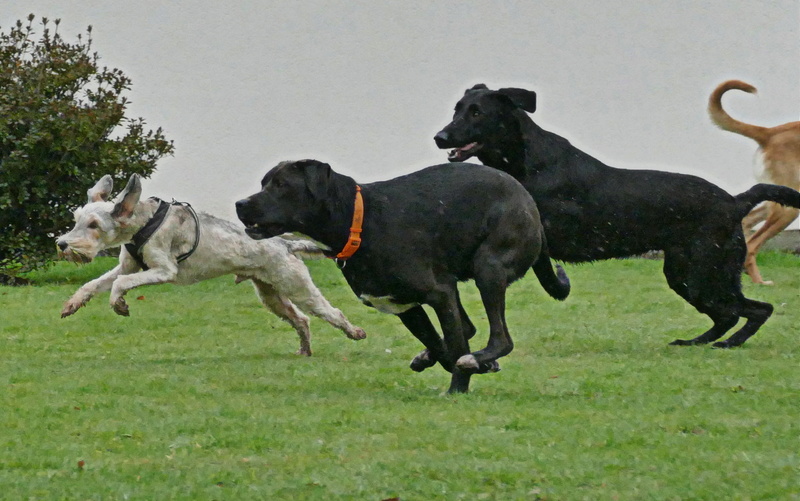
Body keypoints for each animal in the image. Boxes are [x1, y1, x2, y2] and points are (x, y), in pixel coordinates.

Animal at [55, 174, 366, 354]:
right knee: (301, 320)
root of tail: (286, 244)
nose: (61, 244)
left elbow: (119, 284)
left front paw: (119, 304)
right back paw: (304, 351)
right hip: (271, 296)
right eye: (76, 218)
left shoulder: (163, 270)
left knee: (331, 312)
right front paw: (72, 304)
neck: (143, 223)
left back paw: (355, 333)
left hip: (298, 287)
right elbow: (94, 284)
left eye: (94, 225)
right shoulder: (128, 267)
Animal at [234, 158, 572, 392]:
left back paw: (478, 358)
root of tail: (529, 202)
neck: (359, 222)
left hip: (489, 267)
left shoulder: (439, 292)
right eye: (264, 183)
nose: (240, 203)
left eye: (281, 185)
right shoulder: (402, 305)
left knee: (501, 337)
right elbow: (443, 346)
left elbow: (455, 345)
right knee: (469, 327)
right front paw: (457, 365)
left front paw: (459, 387)